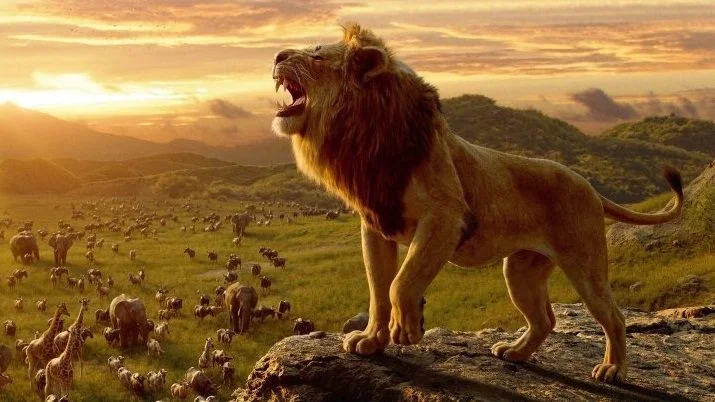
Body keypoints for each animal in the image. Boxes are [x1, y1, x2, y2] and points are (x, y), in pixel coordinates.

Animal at [270, 23, 683, 384]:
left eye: (317, 55)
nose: (276, 55)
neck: (362, 136)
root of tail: (590, 186)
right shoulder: (376, 225)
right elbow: (377, 290)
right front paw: (371, 341)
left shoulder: (446, 216)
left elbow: (401, 282)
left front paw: (407, 330)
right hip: (520, 270)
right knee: (545, 319)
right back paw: (514, 353)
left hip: (584, 264)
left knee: (613, 315)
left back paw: (612, 369)